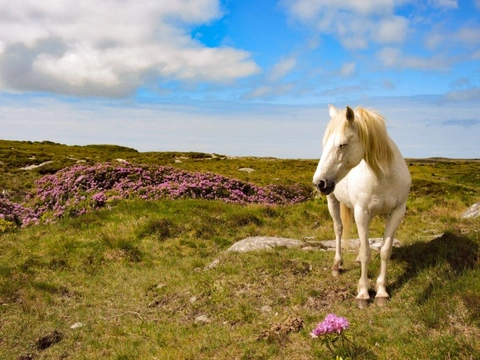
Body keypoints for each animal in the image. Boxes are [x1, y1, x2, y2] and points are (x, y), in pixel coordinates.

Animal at [314, 104, 410, 306]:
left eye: (342, 144)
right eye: (324, 144)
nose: (319, 183)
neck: (384, 175)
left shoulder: (397, 212)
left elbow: (385, 250)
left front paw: (381, 292)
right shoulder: (361, 212)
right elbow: (367, 252)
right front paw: (364, 293)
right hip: (333, 201)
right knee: (338, 229)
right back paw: (337, 265)